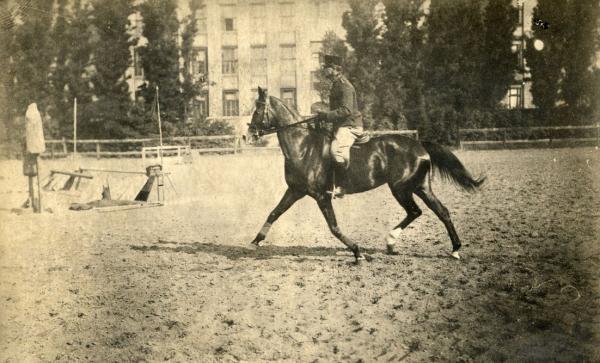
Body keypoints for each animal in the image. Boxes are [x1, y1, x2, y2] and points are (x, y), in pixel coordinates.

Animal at [246, 88, 486, 264]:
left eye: (258, 110)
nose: (247, 135)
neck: (303, 147)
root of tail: (419, 144)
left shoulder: (321, 196)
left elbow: (334, 227)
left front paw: (357, 251)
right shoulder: (295, 191)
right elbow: (274, 213)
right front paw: (255, 241)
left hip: (401, 188)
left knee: (417, 211)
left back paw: (394, 241)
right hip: (420, 187)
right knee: (439, 211)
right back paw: (452, 249)